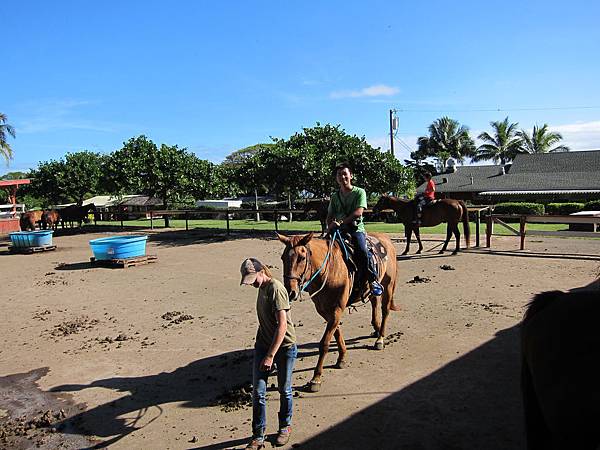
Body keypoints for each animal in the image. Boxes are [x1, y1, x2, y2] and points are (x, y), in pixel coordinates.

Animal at [276, 230, 398, 392]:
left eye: (301, 258)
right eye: (283, 258)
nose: (290, 292)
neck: (329, 268)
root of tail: (386, 238)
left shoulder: (336, 310)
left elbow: (325, 343)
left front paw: (316, 378)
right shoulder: (325, 310)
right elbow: (337, 332)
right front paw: (342, 358)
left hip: (389, 284)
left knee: (385, 311)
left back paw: (380, 338)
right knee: (374, 303)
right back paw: (376, 330)